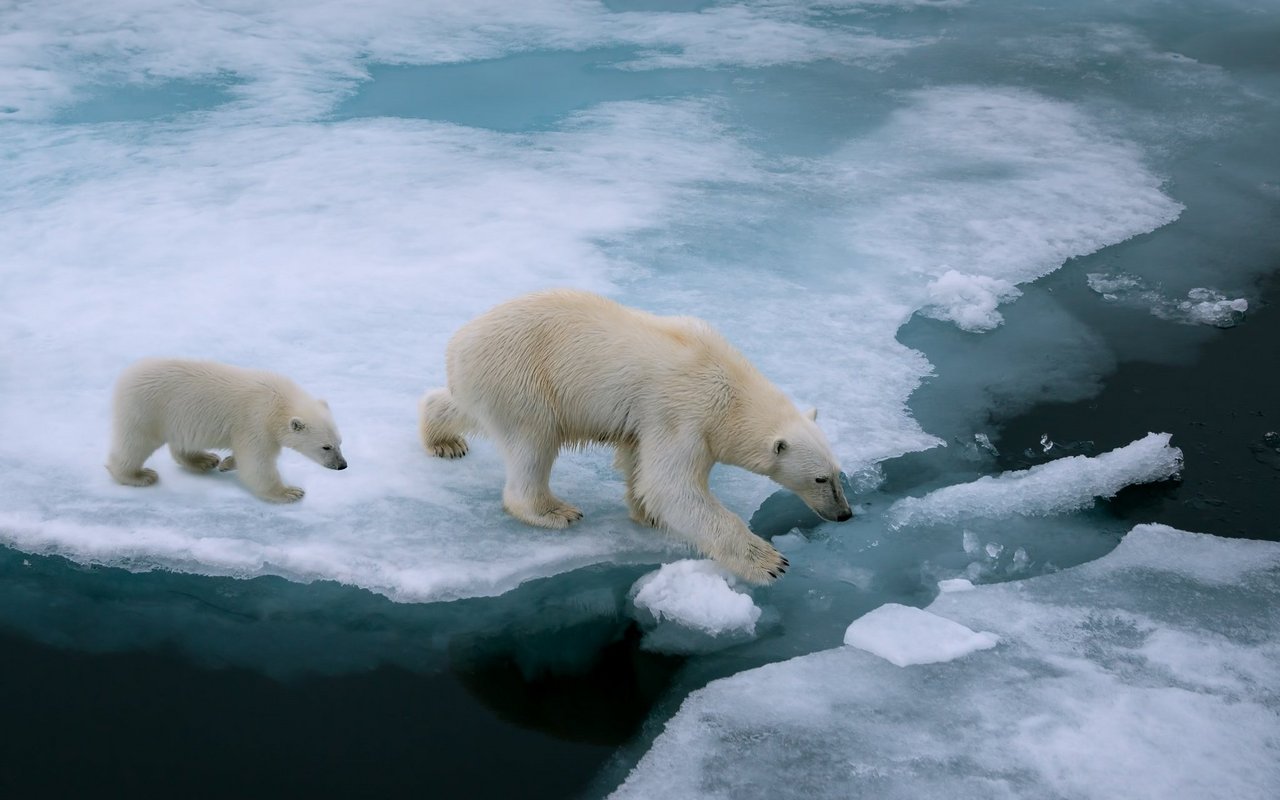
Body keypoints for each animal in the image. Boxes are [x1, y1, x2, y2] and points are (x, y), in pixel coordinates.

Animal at [417, 286, 849, 581]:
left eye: (838, 473)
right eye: (820, 478)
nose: (845, 514)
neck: (730, 385)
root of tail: (458, 345)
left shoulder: (652, 418)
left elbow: (639, 462)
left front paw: (646, 513)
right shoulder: (685, 413)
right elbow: (671, 485)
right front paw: (769, 561)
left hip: (488, 383)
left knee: (463, 408)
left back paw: (443, 439)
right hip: (523, 379)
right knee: (533, 443)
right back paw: (554, 511)